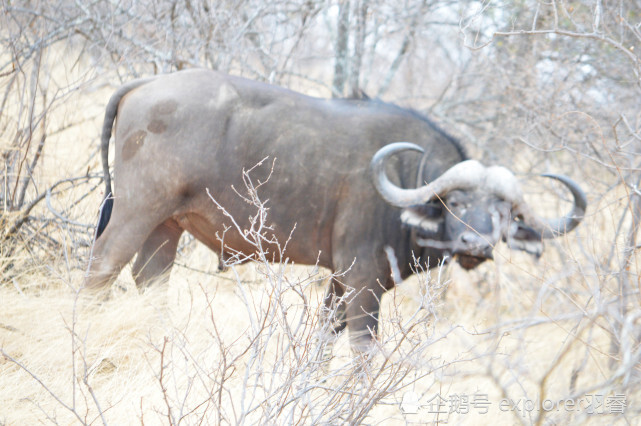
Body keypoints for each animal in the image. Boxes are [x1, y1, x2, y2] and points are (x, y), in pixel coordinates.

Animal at [87, 69, 588, 350]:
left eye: (504, 213)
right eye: (458, 202)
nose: (477, 244)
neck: (406, 179)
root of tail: (149, 84)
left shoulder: (339, 281)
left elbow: (324, 338)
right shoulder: (364, 281)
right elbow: (363, 350)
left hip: (167, 225)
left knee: (151, 281)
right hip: (136, 211)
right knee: (102, 268)